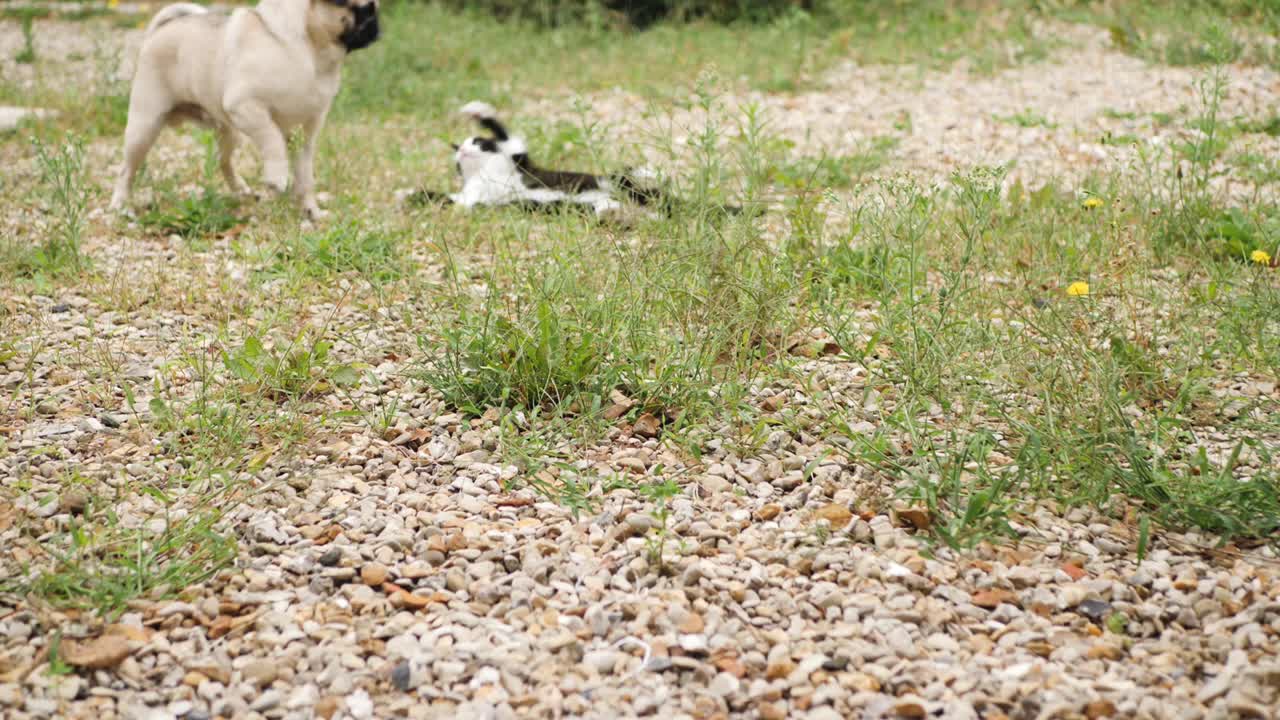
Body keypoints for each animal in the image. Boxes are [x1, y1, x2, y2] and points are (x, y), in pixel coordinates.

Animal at [108, 0, 378, 219]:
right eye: (362, 11)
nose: (376, 24)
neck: (310, 53)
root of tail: (162, 28)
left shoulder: (306, 134)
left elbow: (305, 177)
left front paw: (311, 210)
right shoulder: (246, 107)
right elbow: (273, 140)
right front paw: (277, 176)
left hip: (229, 132)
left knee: (222, 161)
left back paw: (240, 189)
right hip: (145, 126)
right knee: (126, 170)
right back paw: (120, 205)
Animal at [404, 102, 716, 217]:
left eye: (478, 143)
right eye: (458, 156)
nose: (463, 151)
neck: (484, 174)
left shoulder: (518, 158)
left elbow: (504, 132)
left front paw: (476, 110)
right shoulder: (468, 200)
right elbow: (445, 199)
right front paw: (408, 194)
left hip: (617, 182)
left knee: (629, 176)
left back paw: (649, 171)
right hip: (615, 203)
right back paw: (617, 213)